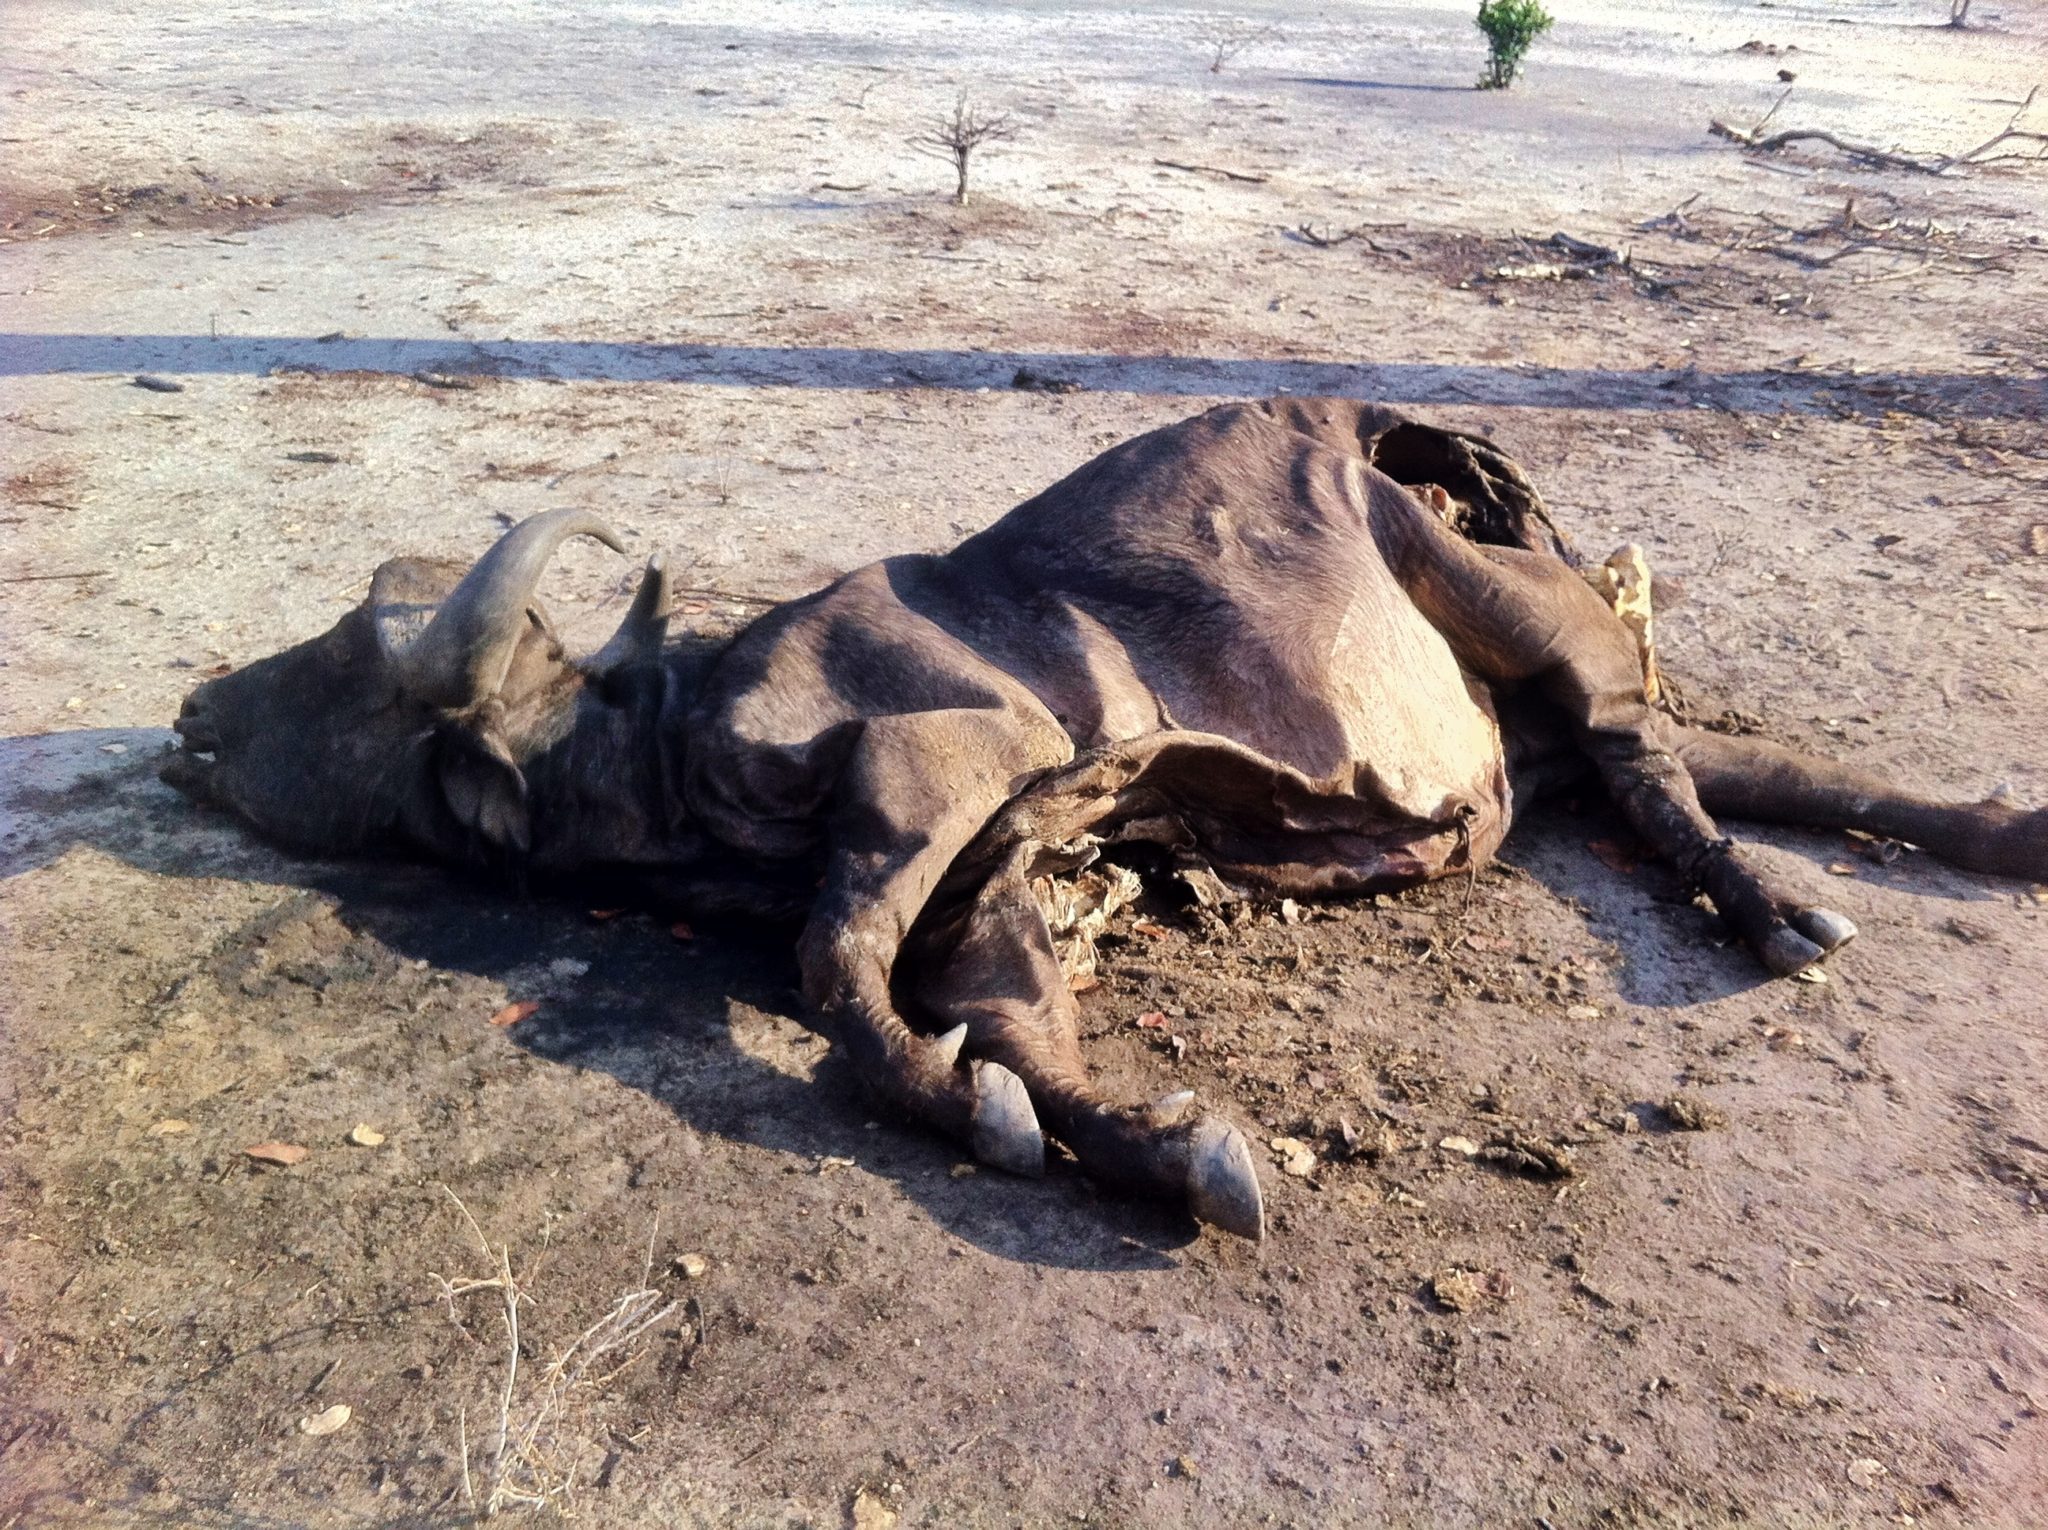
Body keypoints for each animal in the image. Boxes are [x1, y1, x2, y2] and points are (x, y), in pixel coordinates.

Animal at [163, 398, 2047, 1238]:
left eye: (346, 654)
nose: (189, 714)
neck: (675, 740)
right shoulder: (999, 873)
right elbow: (1001, 1017)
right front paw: (1146, 1139)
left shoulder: (944, 778)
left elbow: (836, 970)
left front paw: (978, 1109)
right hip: (1544, 735)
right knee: (1715, 765)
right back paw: (1981, 832)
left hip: (1497, 596)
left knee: (1653, 754)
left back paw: (1774, 911)